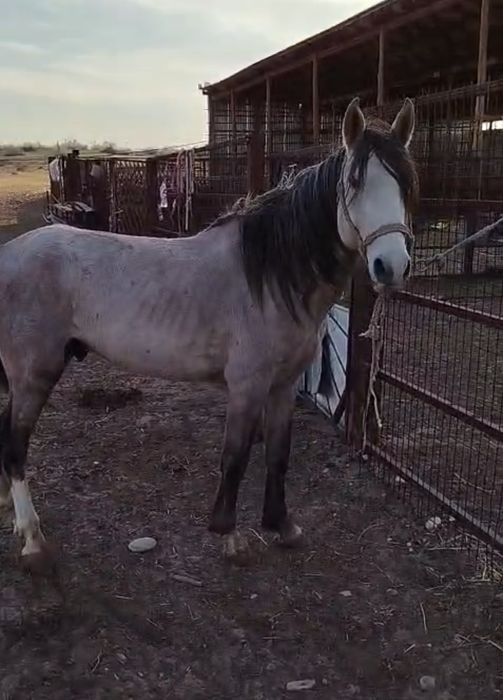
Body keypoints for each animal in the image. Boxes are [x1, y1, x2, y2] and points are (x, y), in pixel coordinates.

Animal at [0, 97, 417, 571]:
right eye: (354, 183)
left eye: (405, 183)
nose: (391, 267)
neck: (269, 276)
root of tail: (10, 254)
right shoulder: (247, 387)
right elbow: (235, 458)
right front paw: (230, 536)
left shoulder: (283, 386)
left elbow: (278, 454)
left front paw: (283, 526)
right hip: (35, 373)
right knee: (15, 446)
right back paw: (33, 539)